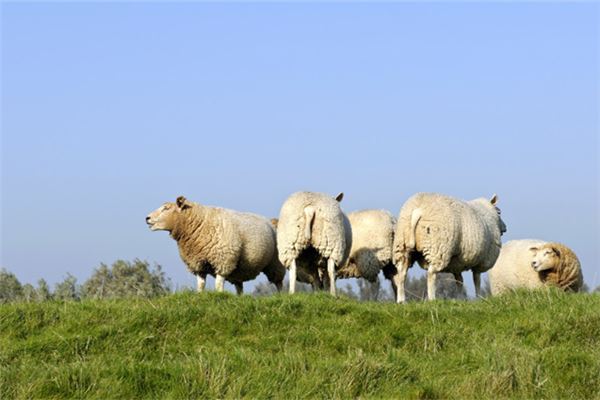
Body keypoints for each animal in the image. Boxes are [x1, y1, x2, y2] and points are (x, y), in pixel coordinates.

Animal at [146, 196, 286, 294]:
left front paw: (219, 295)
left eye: (166, 208)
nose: (147, 218)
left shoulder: (223, 260)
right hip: (240, 268)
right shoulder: (198, 263)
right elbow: (201, 284)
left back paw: (280, 296)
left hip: (275, 262)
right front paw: (200, 296)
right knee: (239, 286)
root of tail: (271, 221)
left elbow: (218, 284)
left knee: (278, 282)